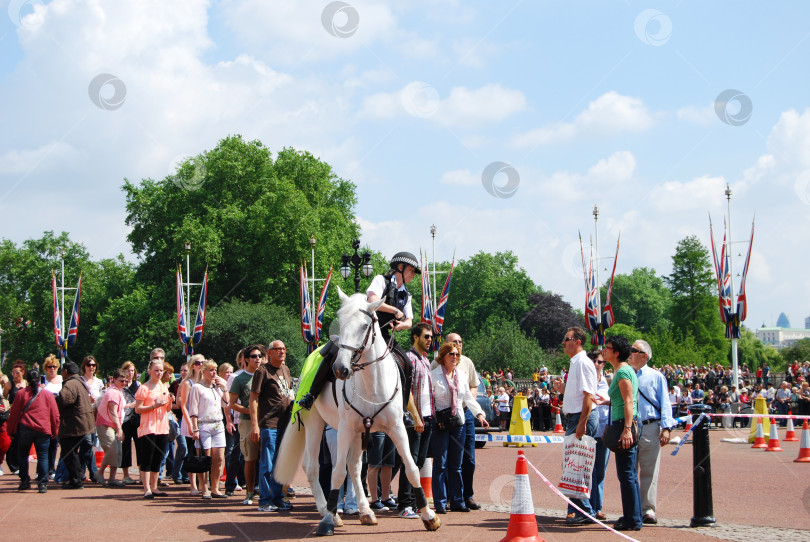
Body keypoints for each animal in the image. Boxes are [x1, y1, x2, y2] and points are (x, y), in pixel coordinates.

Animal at [274, 288, 438, 540]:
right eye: (341, 323)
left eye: (364, 326)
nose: (340, 369)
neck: (371, 383)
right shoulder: (344, 429)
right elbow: (337, 473)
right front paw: (327, 521)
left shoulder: (396, 429)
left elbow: (411, 469)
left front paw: (429, 516)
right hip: (316, 424)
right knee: (312, 466)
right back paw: (329, 512)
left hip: (359, 431)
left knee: (354, 466)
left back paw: (365, 511)